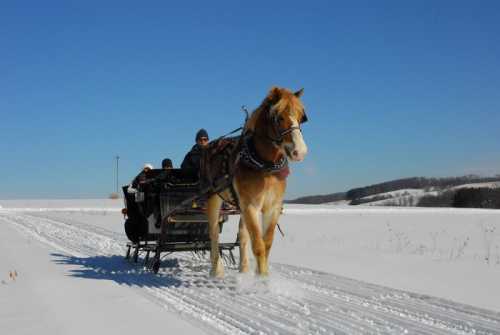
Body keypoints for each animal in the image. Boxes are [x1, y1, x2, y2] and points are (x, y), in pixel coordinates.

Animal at [204, 86, 306, 278]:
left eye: (301, 117)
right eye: (279, 117)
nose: (300, 151)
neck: (265, 166)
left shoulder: (272, 207)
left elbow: (266, 244)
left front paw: (261, 275)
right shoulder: (251, 205)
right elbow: (258, 245)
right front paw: (262, 280)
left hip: (240, 206)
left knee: (242, 235)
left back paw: (243, 268)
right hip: (213, 197)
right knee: (214, 233)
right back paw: (216, 270)